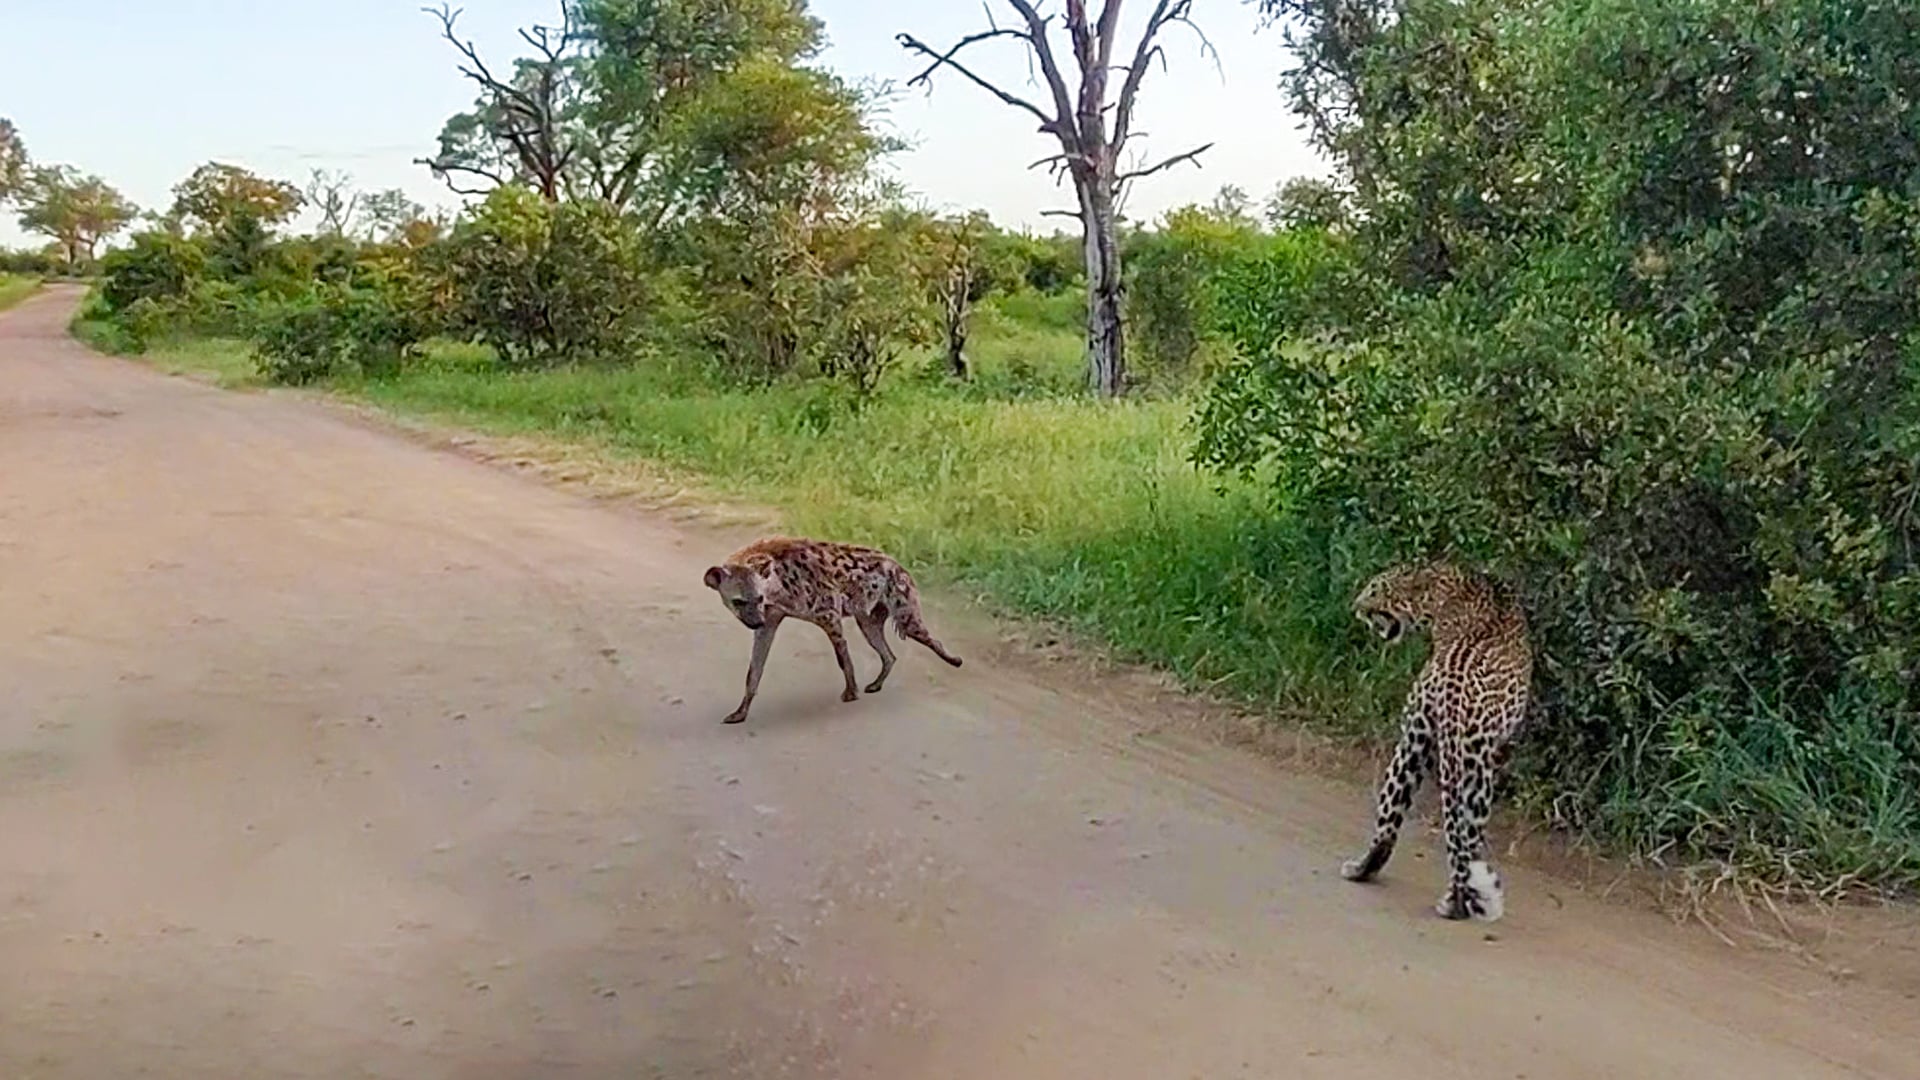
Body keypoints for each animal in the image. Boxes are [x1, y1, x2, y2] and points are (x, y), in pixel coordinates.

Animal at [702, 536, 963, 726]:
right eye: (738, 601)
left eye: (758, 598)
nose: (755, 621)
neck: (778, 587)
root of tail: (898, 564)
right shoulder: (770, 621)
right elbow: (754, 670)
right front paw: (739, 713)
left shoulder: (828, 613)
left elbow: (842, 657)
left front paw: (850, 693)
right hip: (867, 621)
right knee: (889, 654)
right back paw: (876, 684)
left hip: (904, 611)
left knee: (928, 638)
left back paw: (955, 661)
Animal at [1339, 560, 1533, 922]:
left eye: (1375, 590)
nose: (1356, 607)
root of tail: (1452, 683)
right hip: (1464, 765)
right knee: (1463, 842)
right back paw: (1455, 902)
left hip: (1415, 744)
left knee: (1389, 825)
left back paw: (1363, 871)